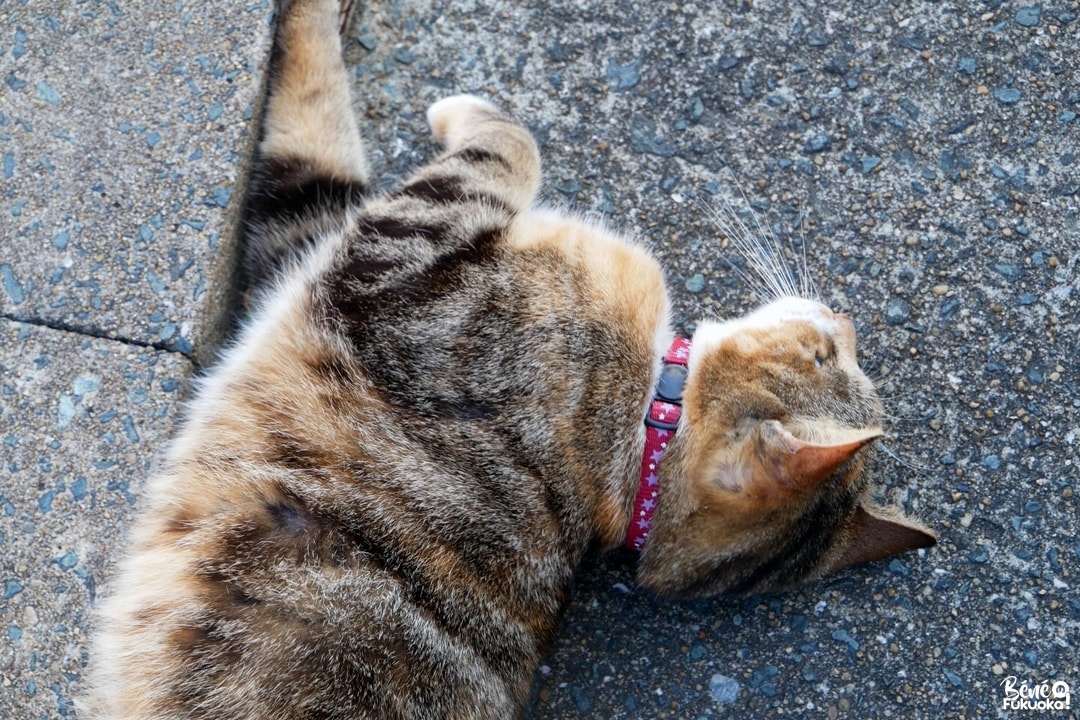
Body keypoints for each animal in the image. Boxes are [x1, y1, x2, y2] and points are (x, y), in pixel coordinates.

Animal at [84, 0, 933, 716]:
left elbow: (502, 140)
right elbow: (317, 108)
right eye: (828, 351)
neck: (640, 434)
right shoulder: (312, 244)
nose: (841, 312)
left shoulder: (392, 253)